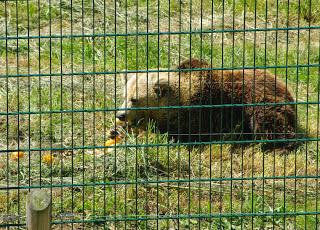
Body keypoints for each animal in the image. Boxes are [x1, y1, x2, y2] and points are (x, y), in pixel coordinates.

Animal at [114, 58, 298, 150]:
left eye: (134, 99)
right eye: (124, 96)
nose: (120, 115)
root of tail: (286, 87)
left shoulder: (201, 114)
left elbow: (175, 135)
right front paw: (117, 130)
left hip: (259, 101)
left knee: (268, 122)